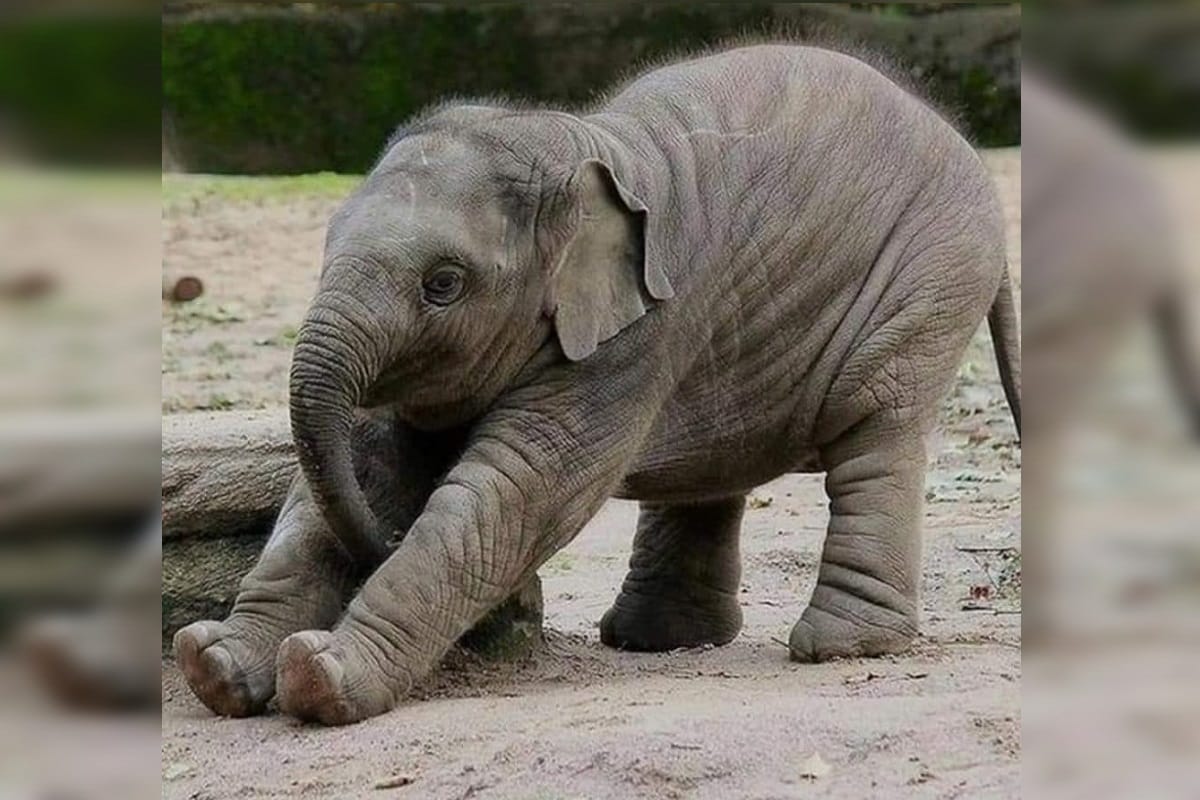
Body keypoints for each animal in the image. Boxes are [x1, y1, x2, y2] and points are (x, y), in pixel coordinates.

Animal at [175, 43, 1021, 724]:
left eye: (443, 284)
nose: (378, 543)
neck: (574, 142)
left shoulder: (638, 336)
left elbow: (517, 489)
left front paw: (320, 676)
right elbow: (367, 463)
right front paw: (212, 666)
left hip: (929, 275)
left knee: (875, 431)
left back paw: (838, 648)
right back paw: (654, 641)